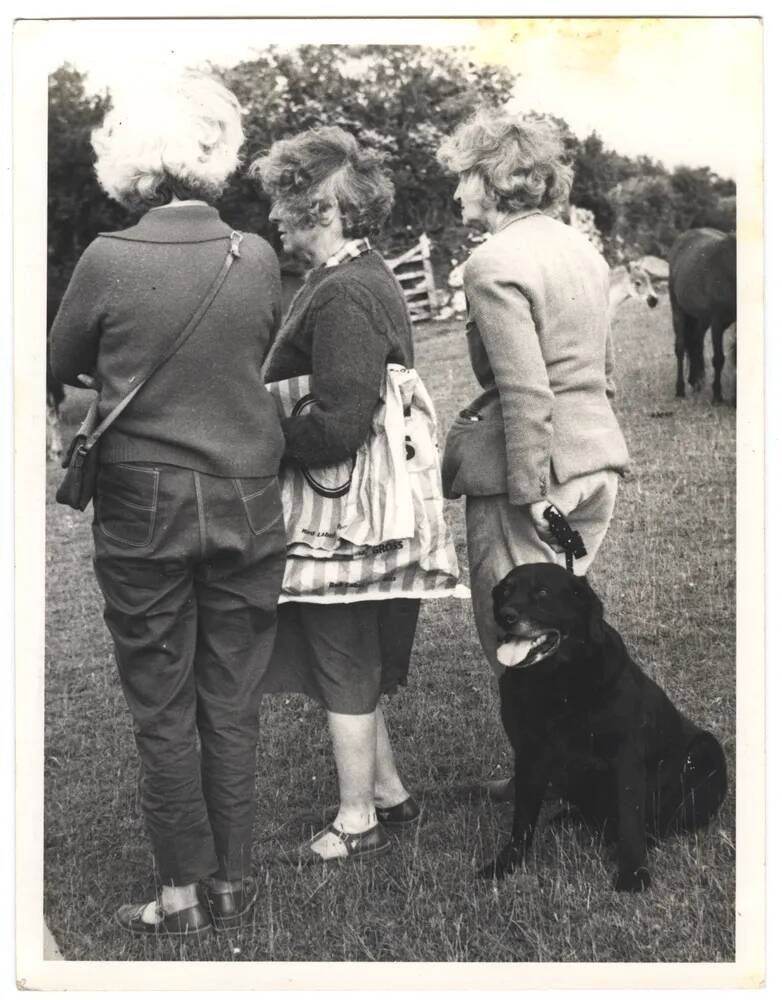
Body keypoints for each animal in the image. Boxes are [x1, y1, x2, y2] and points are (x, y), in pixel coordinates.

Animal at [484, 564, 728, 892]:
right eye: (505, 591)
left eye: (543, 592)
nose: (506, 615)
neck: (556, 684)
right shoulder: (529, 756)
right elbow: (522, 820)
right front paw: (505, 865)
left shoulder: (626, 759)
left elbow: (629, 820)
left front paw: (633, 875)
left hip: (706, 751)